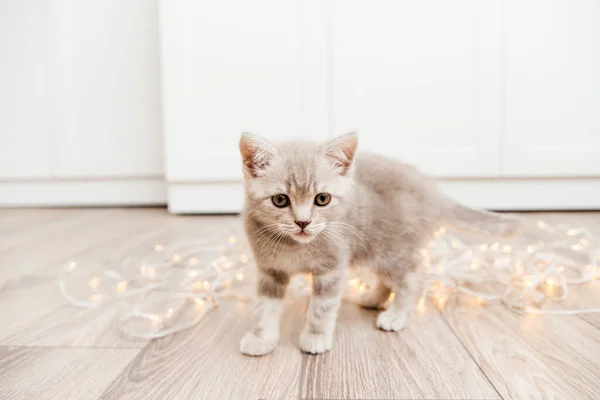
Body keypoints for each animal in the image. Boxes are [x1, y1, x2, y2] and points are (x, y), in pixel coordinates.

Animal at [237, 132, 516, 356]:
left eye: (322, 199)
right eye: (280, 200)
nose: (303, 222)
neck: (296, 246)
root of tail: (431, 192)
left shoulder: (332, 268)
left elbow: (321, 307)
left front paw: (315, 337)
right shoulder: (270, 271)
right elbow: (264, 307)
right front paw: (262, 339)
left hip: (392, 250)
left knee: (409, 279)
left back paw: (396, 314)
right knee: (388, 279)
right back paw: (373, 298)